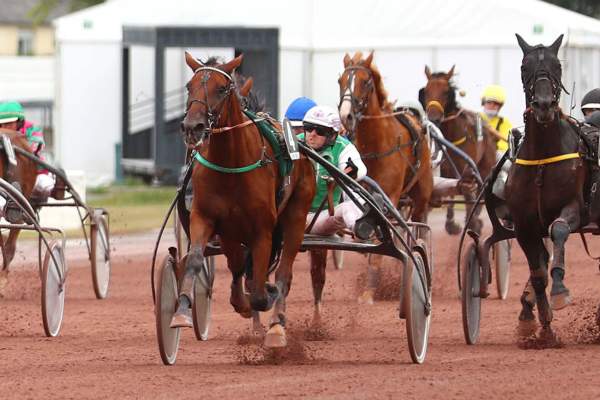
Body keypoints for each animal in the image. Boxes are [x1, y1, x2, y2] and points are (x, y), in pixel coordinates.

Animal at [171, 53, 316, 346]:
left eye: (221, 89)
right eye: (189, 87)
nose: (192, 127)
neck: (231, 164)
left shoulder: (262, 229)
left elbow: (260, 290)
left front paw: (264, 301)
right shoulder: (208, 219)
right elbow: (201, 261)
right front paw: (182, 311)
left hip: (296, 215)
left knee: (284, 273)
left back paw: (276, 325)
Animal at [312, 51, 434, 308]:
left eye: (366, 82)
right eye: (340, 80)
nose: (346, 115)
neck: (376, 145)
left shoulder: (391, 195)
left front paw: (369, 291)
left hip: (421, 196)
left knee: (418, 226)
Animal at [418, 65, 496, 234]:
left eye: (445, 91)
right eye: (426, 91)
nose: (433, 118)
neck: (452, 138)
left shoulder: (466, 167)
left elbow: (469, 193)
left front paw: (472, 222)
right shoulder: (446, 169)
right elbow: (451, 192)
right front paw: (451, 224)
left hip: (486, 166)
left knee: (480, 192)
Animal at [506, 34, 592, 340]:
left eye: (558, 66)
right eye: (524, 66)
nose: (543, 105)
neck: (542, 157)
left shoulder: (575, 208)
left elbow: (559, 230)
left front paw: (559, 290)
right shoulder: (523, 224)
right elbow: (538, 272)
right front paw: (541, 325)